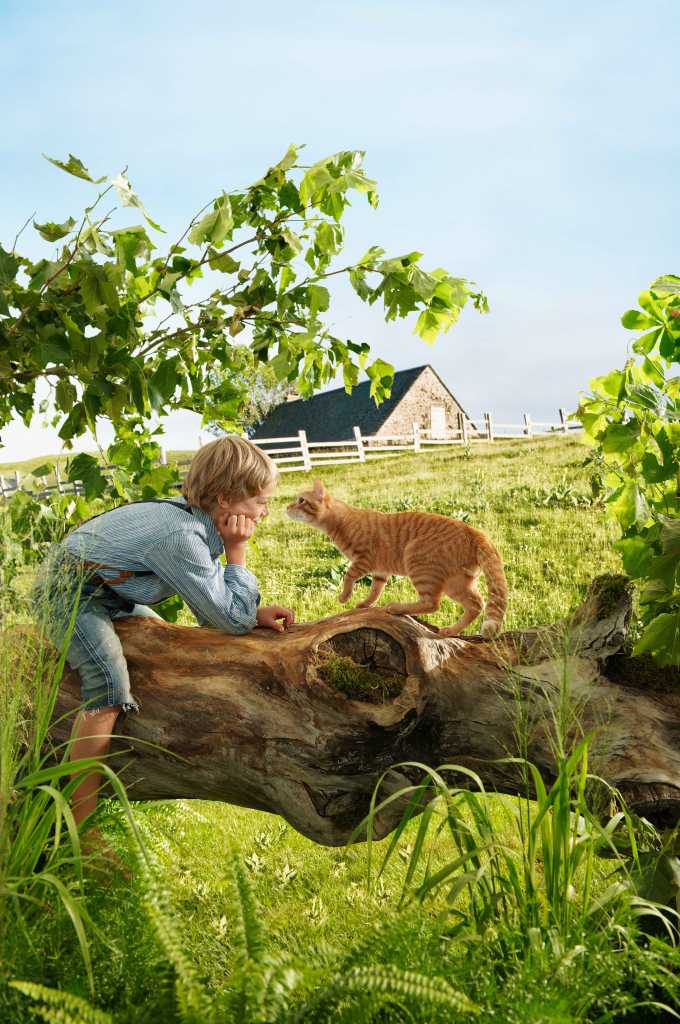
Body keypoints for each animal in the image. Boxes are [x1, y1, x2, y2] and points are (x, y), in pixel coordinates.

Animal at [284, 477, 503, 634]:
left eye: (301, 500)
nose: (286, 507)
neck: (342, 521)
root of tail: (476, 532)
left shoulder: (364, 559)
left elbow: (349, 576)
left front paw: (345, 596)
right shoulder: (380, 570)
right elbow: (375, 590)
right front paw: (365, 604)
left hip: (418, 561)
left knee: (432, 603)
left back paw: (397, 608)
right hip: (456, 582)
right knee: (476, 604)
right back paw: (451, 631)